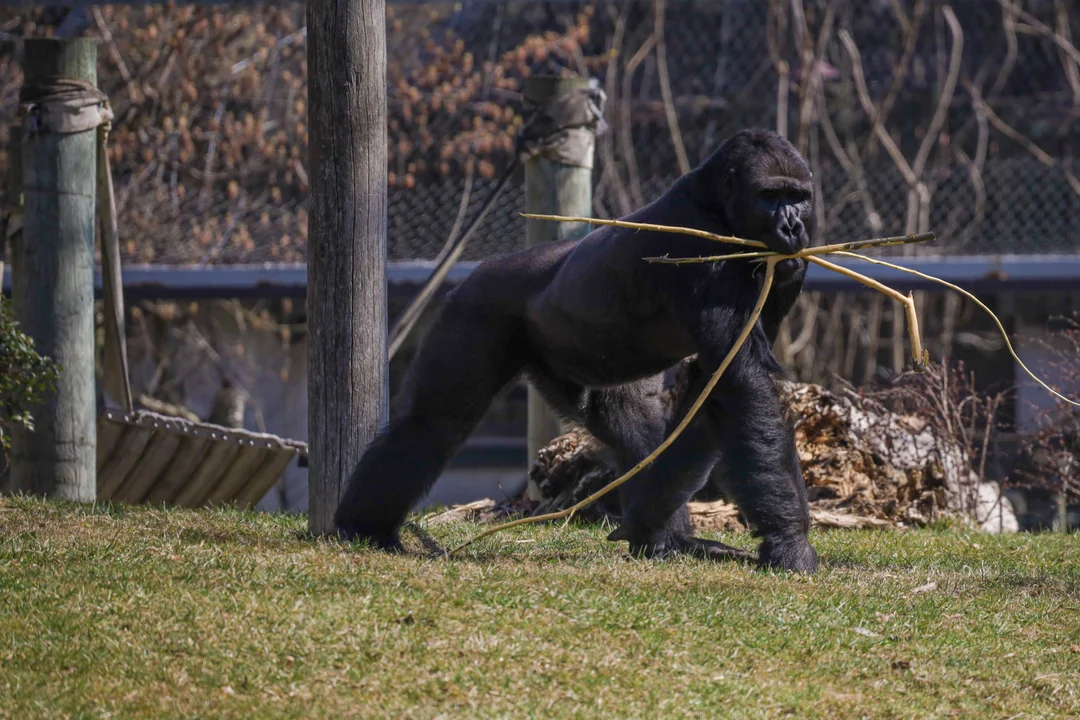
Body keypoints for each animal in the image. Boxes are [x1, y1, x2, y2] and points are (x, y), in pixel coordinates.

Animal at [334, 125, 816, 574]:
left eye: (798, 197)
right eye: (771, 196)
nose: (792, 225)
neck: (715, 200)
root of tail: (483, 268)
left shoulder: (782, 266)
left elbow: (712, 391)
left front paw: (652, 529)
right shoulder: (703, 246)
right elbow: (741, 384)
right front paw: (789, 542)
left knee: (633, 428)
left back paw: (667, 537)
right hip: (476, 308)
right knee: (432, 423)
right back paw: (362, 527)